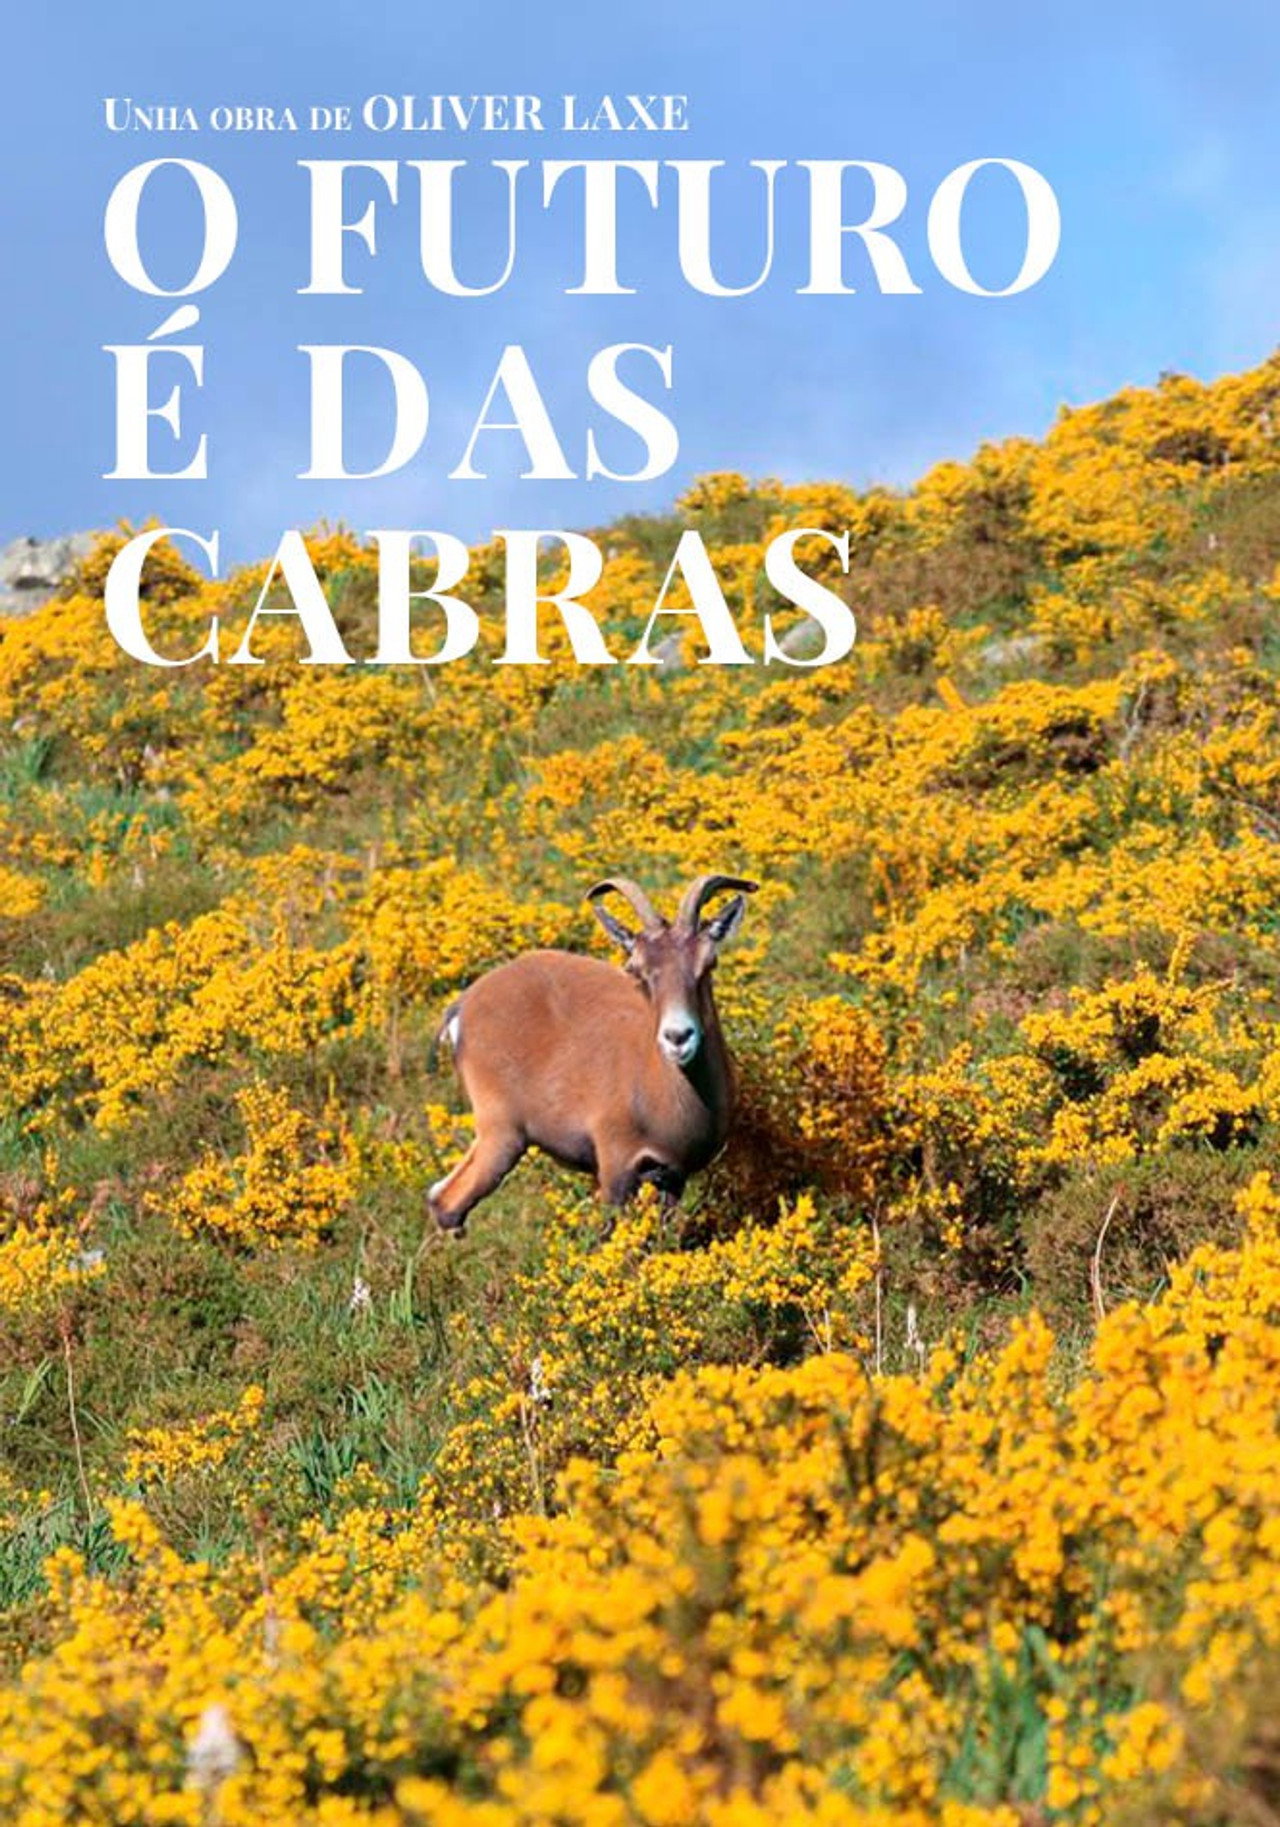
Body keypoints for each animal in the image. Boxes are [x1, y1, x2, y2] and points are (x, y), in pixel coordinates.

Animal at [427, 873, 757, 1233]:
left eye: (708, 963)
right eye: (637, 970)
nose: (678, 1037)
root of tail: (462, 1006)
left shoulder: (673, 1175)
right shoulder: (616, 1166)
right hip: (501, 1133)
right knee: (448, 1204)